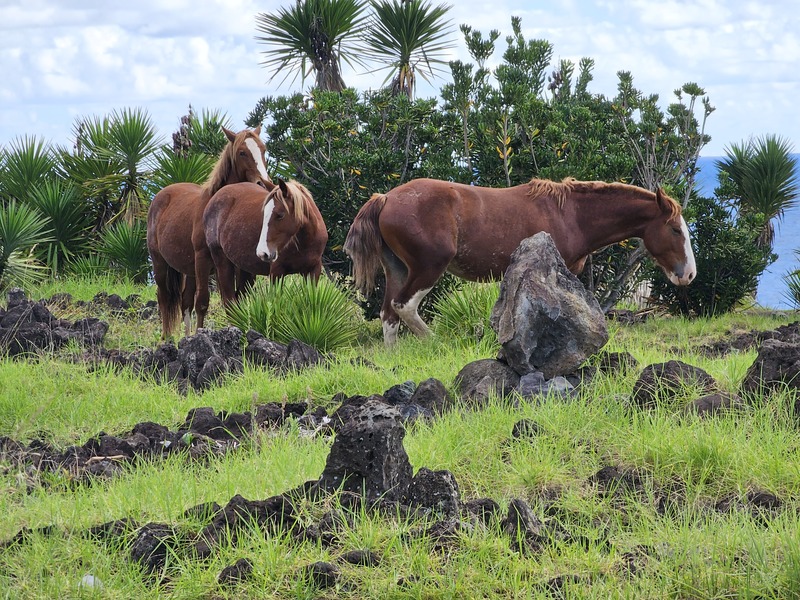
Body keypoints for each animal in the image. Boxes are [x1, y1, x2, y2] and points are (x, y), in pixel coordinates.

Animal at [144, 124, 268, 338]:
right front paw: (201, 334)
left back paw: (185, 336)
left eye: (263, 150)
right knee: (164, 297)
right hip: (161, 264)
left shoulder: (235, 266)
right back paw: (167, 337)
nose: (263, 183)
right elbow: (202, 302)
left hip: (188, 270)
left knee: (184, 302)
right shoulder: (203, 259)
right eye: (242, 152)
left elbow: (236, 299)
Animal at [346, 176, 696, 344]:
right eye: (675, 229)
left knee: (389, 312)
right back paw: (435, 342)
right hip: (428, 266)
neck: (571, 214)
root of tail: (385, 198)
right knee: (404, 306)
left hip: (398, 269)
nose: (689, 274)